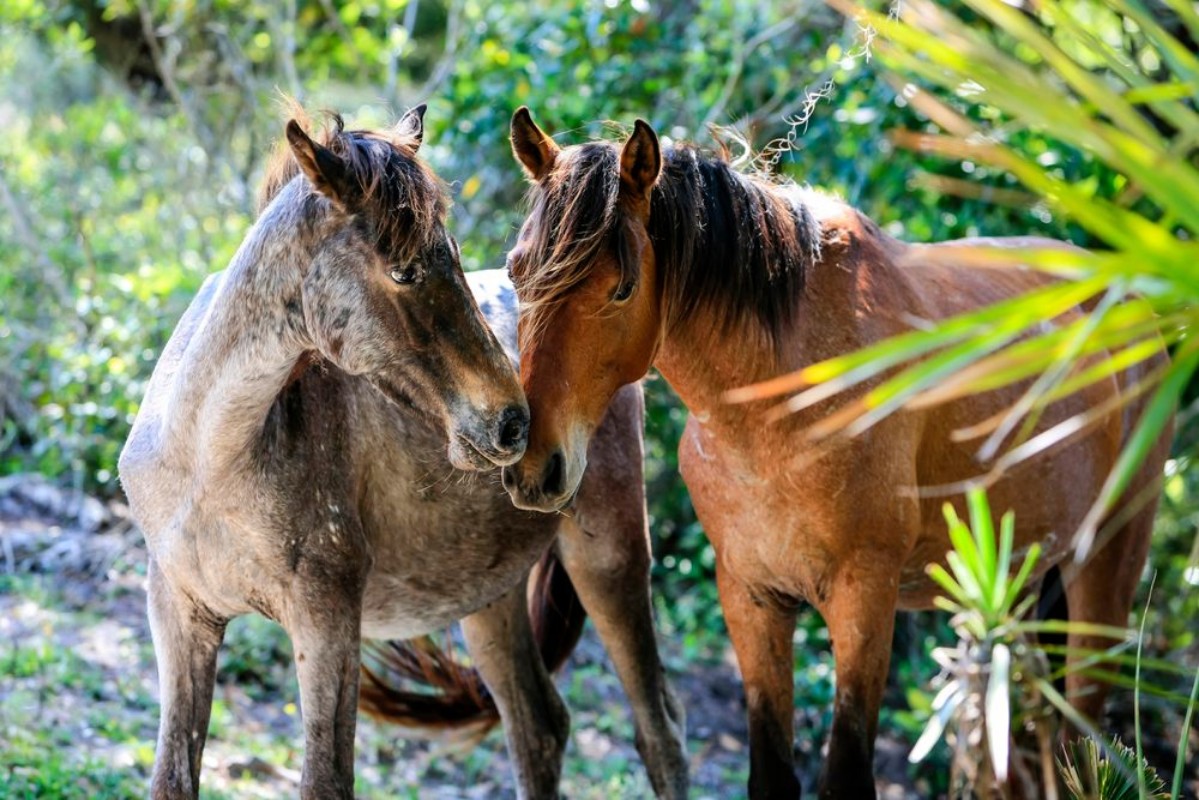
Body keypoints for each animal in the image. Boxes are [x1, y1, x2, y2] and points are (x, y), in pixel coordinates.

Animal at [118, 104, 687, 800]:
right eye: (404, 271)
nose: (513, 424)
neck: (209, 460)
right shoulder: (180, 618)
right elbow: (173, 777)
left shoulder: (327, 627)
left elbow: (326, 781)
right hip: (488, 597)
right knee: (539, 727)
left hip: (609, 560)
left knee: (658, 730)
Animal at [499, 107, 1171, 799]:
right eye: (516, 272)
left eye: (623, 289)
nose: (534, 466)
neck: (776, 409)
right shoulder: (751, 596)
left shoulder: (863, 600)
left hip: (1104, 567)